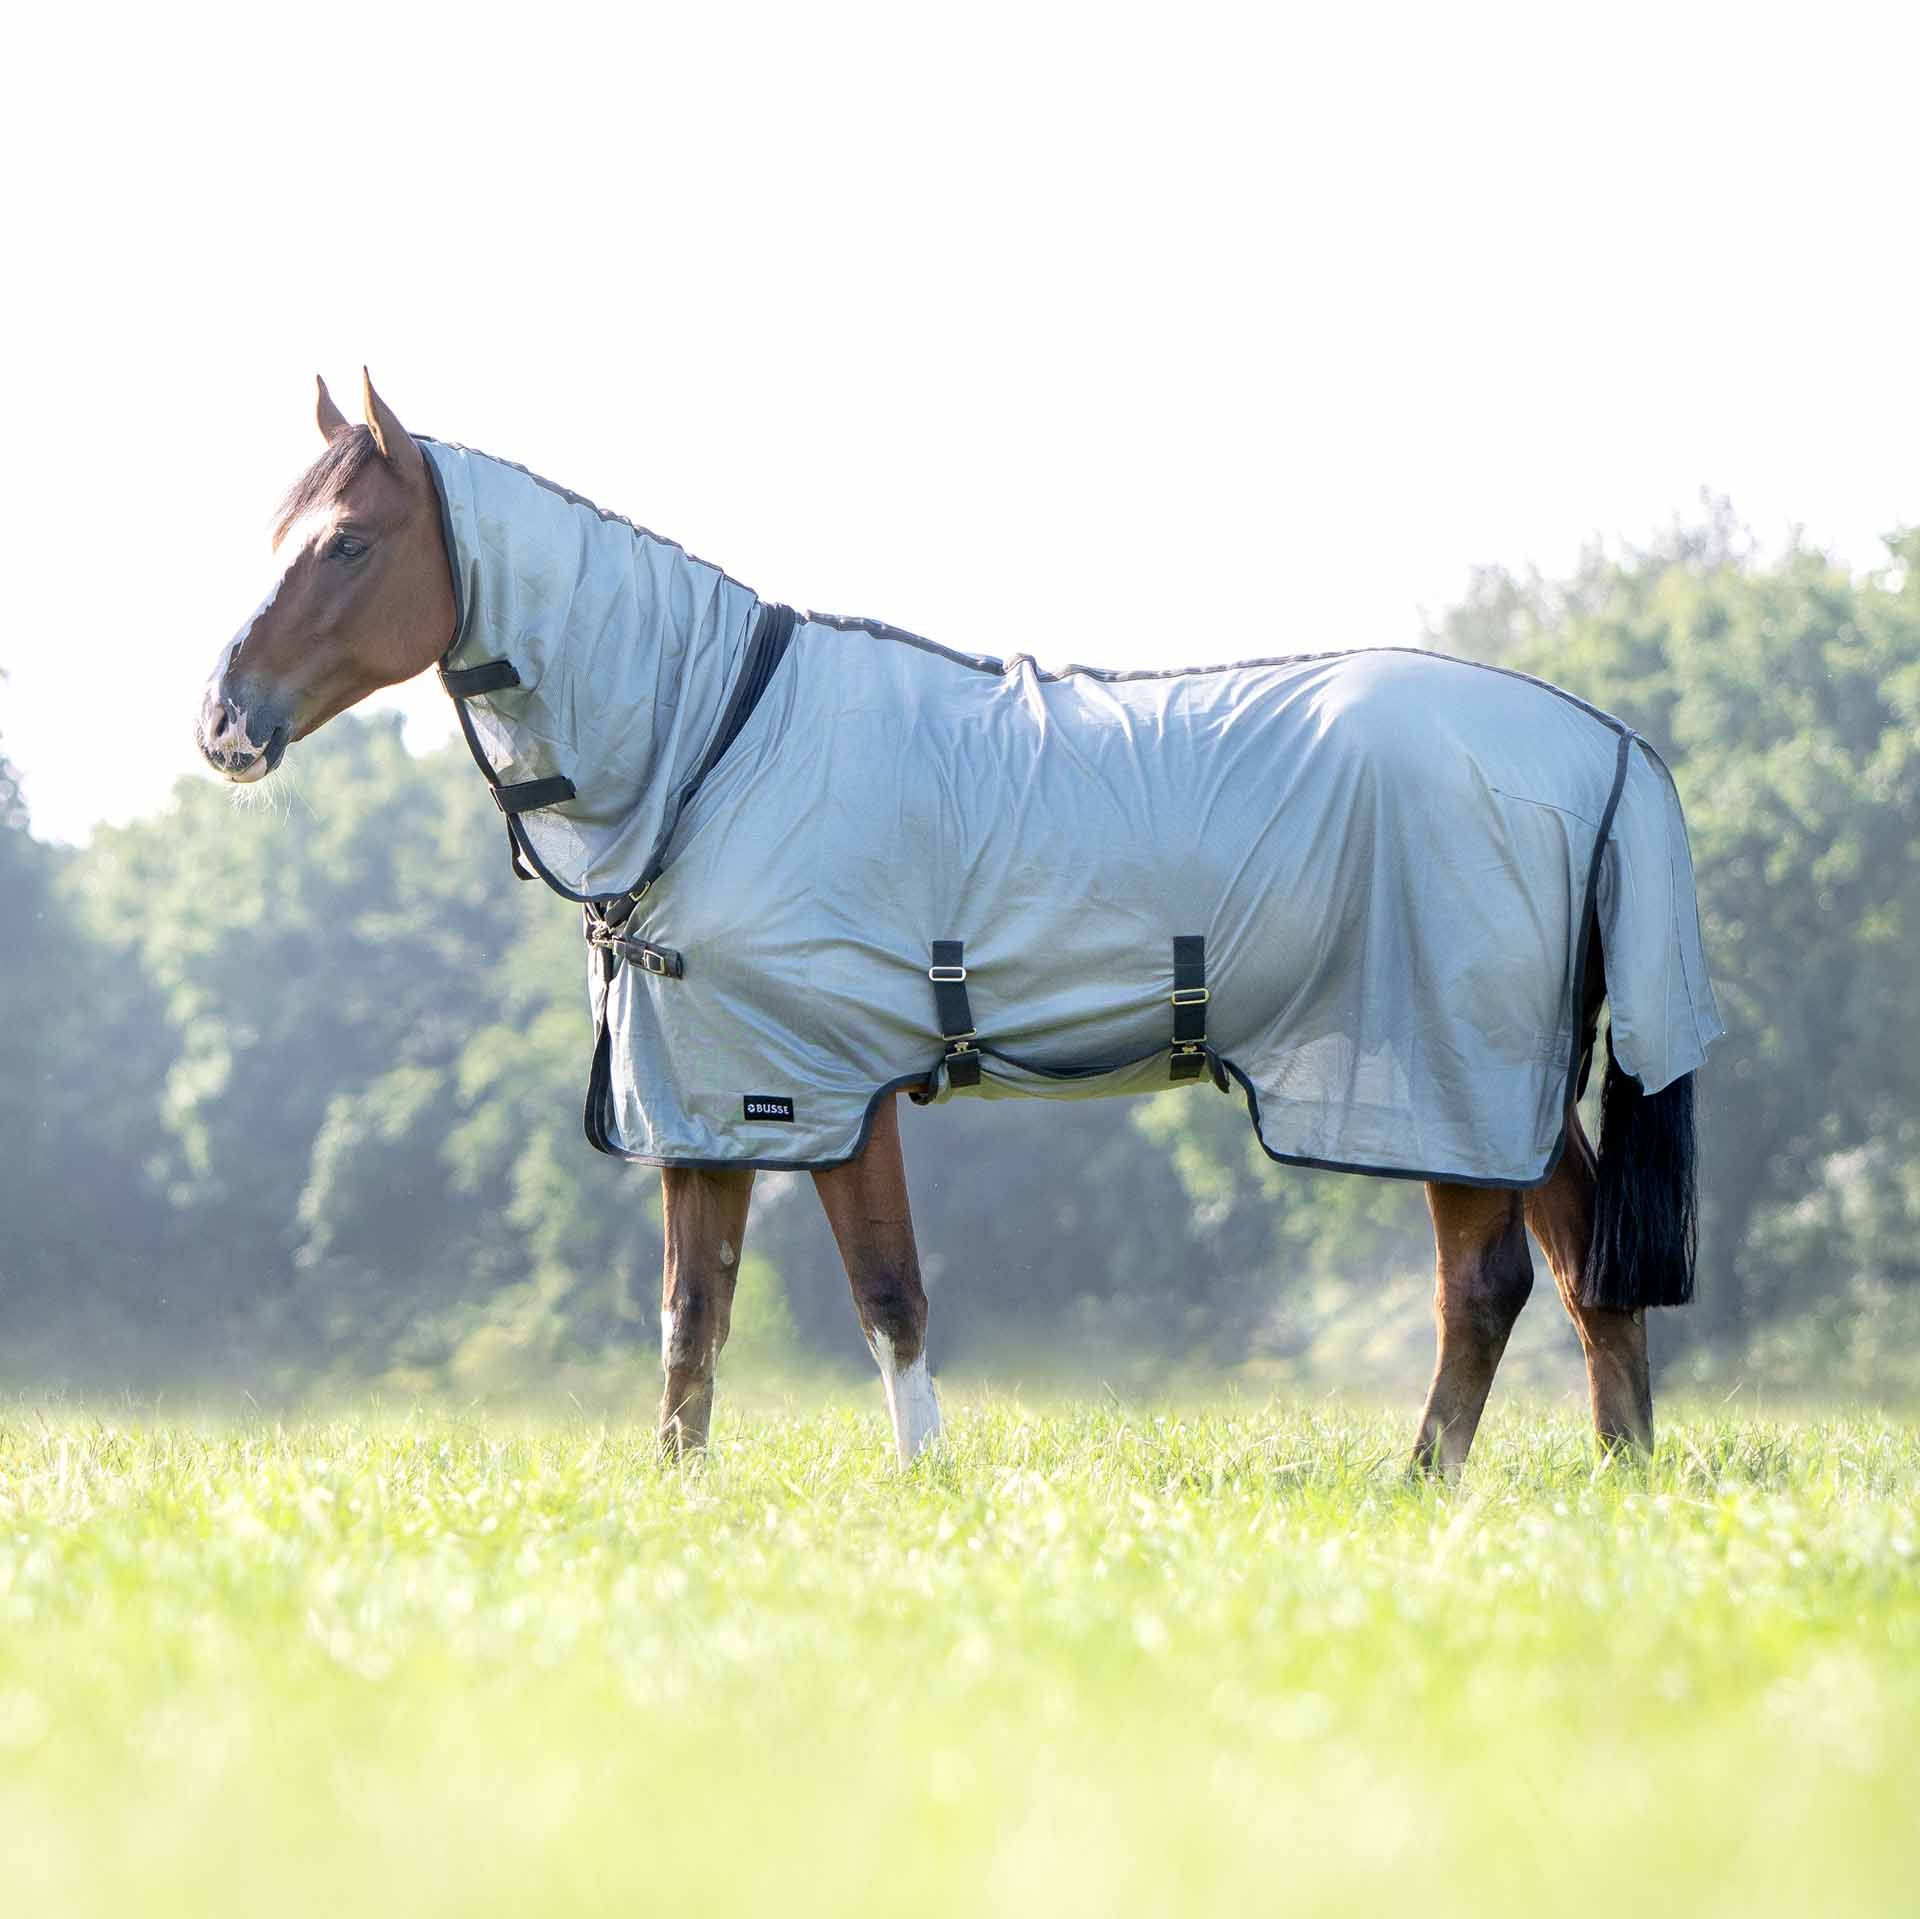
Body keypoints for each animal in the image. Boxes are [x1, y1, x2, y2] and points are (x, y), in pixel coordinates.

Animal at [197, 372, 1719, 1473]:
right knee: (1587, 1276)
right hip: (1516, 1092)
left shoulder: (824, 1090)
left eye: (346, 542)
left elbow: (888, 1296)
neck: (711, 745)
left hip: (1447, 1088)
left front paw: (925, 1481)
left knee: (1488, 1286)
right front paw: (677, 1487)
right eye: (274, 535)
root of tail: (1601, 742)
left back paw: (1422, 1481)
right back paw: (1615, 1475)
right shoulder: (712, 1102)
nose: (223, 721)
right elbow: (695, 1314)